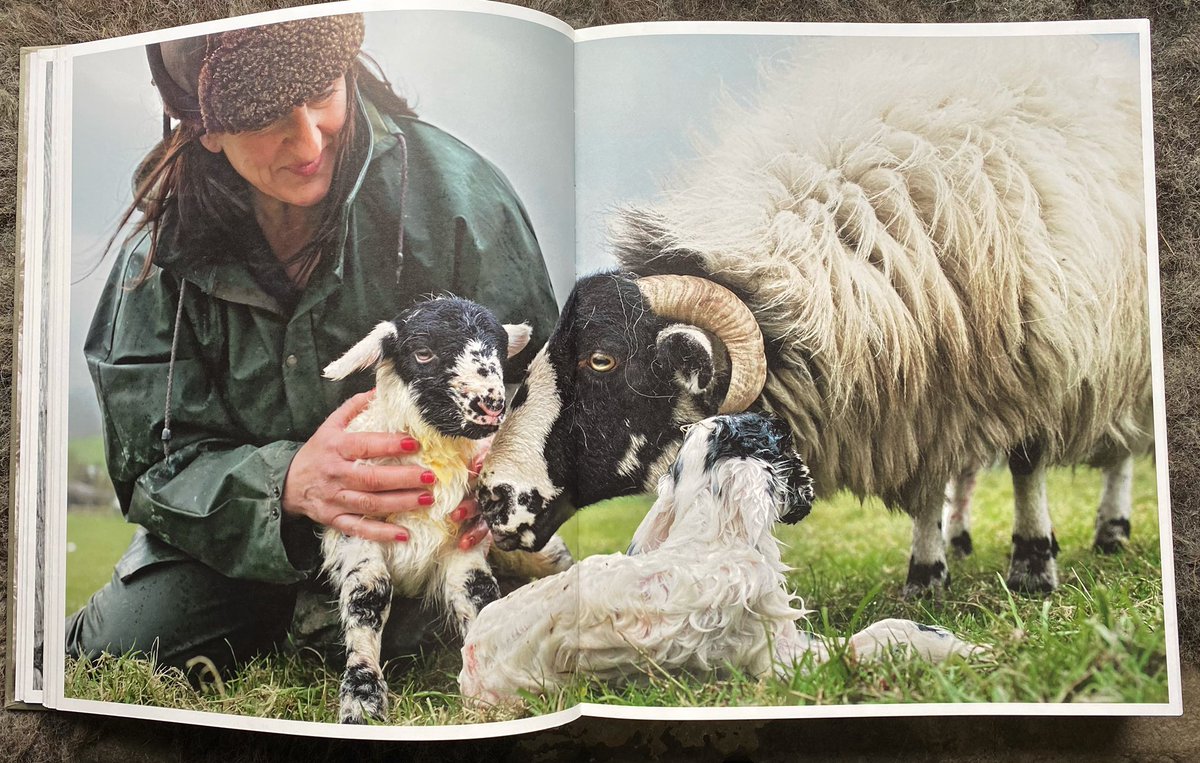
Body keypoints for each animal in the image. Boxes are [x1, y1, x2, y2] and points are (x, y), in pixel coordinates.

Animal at [321, 295, 573, 724]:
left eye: (499, 351)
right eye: (423, 353)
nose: (492, 405)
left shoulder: (464, 541)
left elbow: (479, 595)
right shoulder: (357, 531)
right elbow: (369, 596)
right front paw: (362, 701)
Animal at [453, 415, 979, 705]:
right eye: (782, 439)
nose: (810, 480)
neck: (708, 540)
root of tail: (470, 667)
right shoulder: (783, 663)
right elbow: (885, 631)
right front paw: (963, 648)